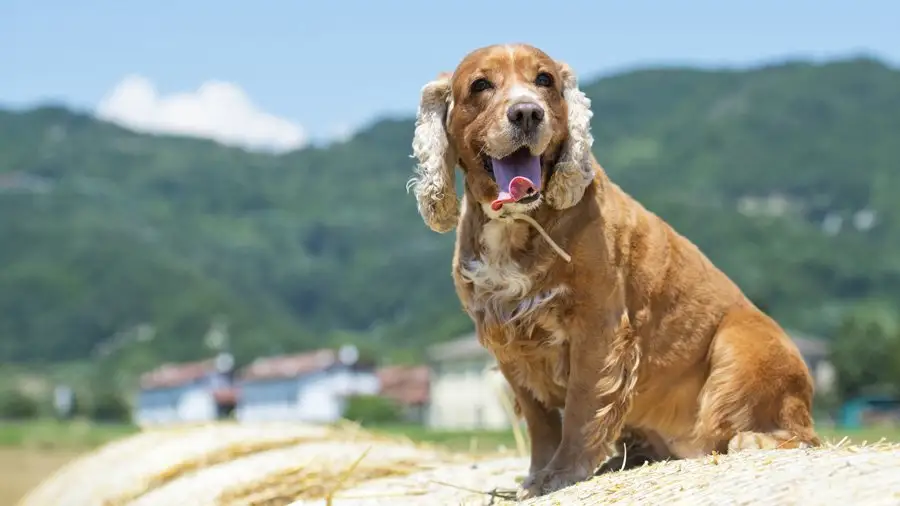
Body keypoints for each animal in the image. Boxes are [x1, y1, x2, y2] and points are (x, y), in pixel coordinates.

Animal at [408, 42, 824, 498]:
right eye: (481, 85)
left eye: (544, 80)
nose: (527, 112)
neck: (518, 222)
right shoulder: (508, 340)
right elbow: (540, 422)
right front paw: (535, 480)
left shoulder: (598, 327)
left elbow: (581, 406)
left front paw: (562, 475)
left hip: (742, 344)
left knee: (796, 434)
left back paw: (750, 440)